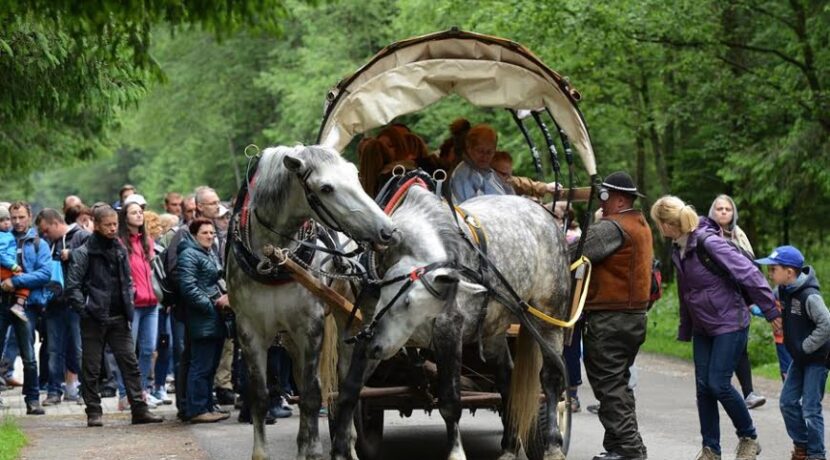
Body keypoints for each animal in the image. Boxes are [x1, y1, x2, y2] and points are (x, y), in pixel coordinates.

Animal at [226, 145, 398, 460]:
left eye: (355, 175)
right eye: (326, 188)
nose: (388, 231)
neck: (274, 260)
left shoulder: (310, 326)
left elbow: (312, 394)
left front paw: (317, 449)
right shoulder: (249, 330)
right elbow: (260, 397)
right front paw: (266, 452)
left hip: (351, 327)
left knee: (346, 389)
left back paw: (345, 446)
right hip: (290, 339)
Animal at [332, 186, 572, 460]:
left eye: (407, 301)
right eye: (381, 296)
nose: (376, 348)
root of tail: (547, 217)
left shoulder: (448, 330)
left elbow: (449, 402)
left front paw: (456, 452)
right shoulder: (372, 329)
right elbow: (350, 390)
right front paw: (340, 450)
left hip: (549, 317)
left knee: (552, 378)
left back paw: (553, 445)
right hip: (494, 327)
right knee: (506, 379)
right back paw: (509, 447)